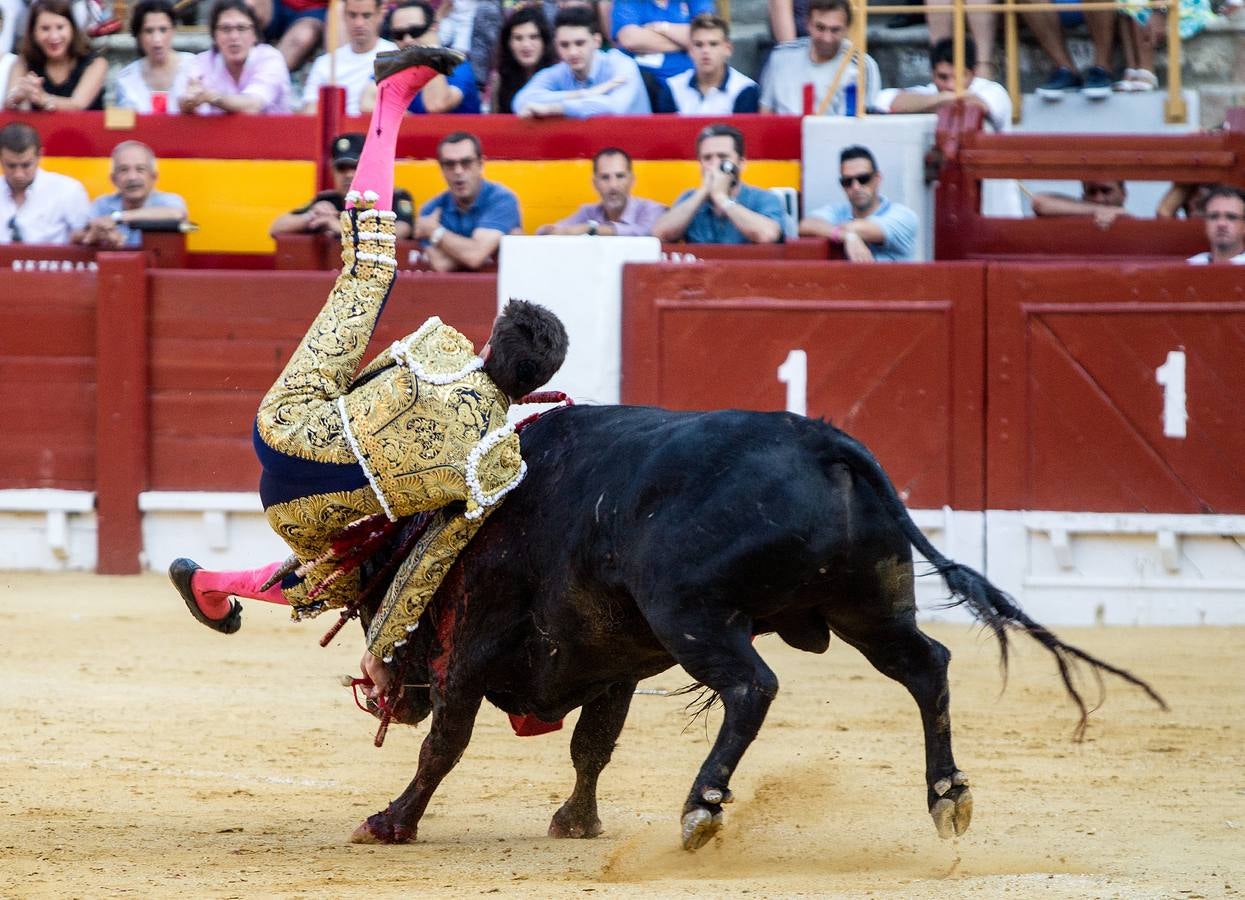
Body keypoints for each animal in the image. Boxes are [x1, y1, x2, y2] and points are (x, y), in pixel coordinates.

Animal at [351, 405, 1165, 846]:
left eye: (370, 602)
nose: (385, 692)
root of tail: (822, 443)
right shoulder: (611, 661)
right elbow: (593, 748)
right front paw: (576, 822)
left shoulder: (477, 648)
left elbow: (446, 745)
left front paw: (391, 822)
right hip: (865, 607)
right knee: (926, 665)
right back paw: (946, 795)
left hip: (692, 616)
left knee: (752, 687)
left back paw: (701, 807)